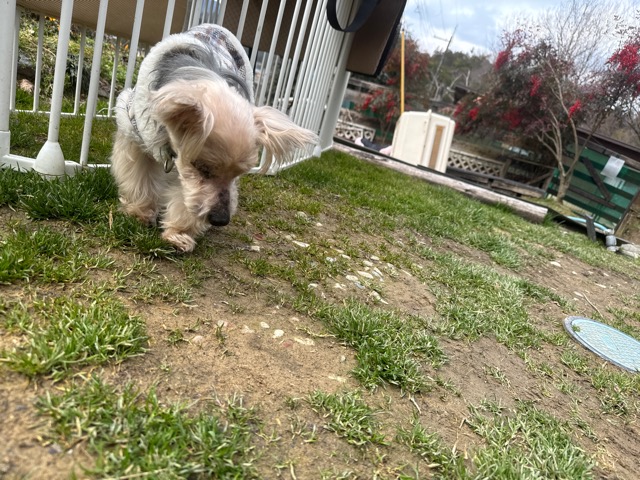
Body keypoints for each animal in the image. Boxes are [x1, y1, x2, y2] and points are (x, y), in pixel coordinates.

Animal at [111, 24, 318, 252]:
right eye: (202, 168)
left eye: (239, 174)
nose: (220, 219)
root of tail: (215, 26)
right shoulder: (135, 136)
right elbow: (139, 178)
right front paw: (140, 212)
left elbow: (188, 199)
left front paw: (180, 234)